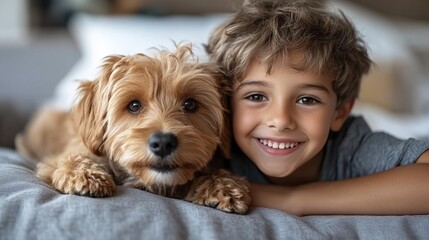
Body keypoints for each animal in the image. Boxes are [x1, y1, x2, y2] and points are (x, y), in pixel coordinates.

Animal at [15, 44, 251, 215]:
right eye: (134, 105)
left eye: (191, 104)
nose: (163, 142)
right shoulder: (61, 157)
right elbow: (71, 159)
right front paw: (85, 175)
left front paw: (222, 185)